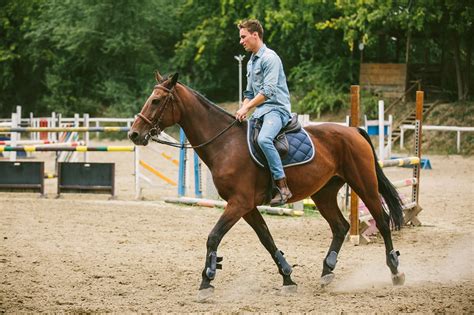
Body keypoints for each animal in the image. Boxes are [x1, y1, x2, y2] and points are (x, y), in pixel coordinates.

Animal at [128, 73, 406, 302]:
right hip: (323, 193)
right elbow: (267, 240)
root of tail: (354, 131)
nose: (134, 134)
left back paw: (395, 271)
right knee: (340, 226)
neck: (225, 143)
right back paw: (327, 271)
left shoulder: (238, 203)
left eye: (155, 101)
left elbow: (214, 237)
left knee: (382, 222)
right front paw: (287, 278)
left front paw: (207, 280)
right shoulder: (247, 207)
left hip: (364, 184)